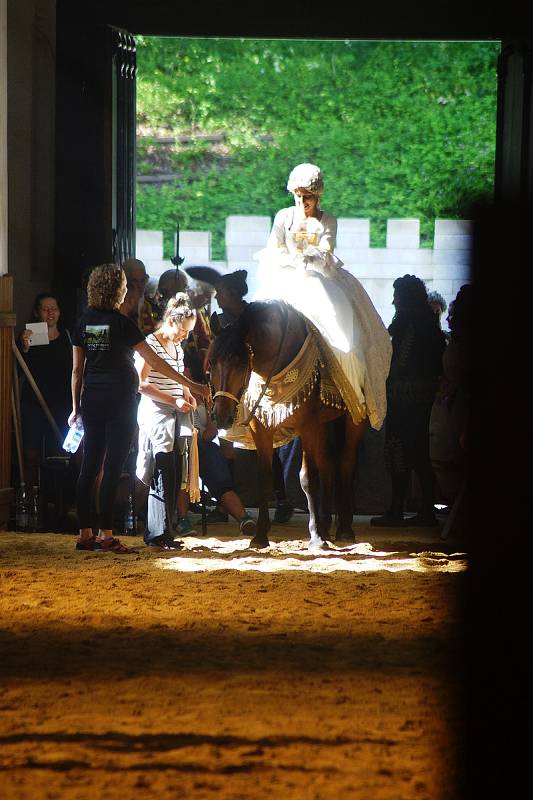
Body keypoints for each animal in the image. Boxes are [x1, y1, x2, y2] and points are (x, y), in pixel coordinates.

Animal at [208, 300, 366, 552]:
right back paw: (326, 524)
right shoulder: (262, 429)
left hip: (352, 419)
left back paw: (343, 529)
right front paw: (260, 536)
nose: (221, 415)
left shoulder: (308, 426)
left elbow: (308, 478)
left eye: (241, 362)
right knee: (328, 464)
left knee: (347, 462)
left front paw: (316, 537)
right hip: (323, 424)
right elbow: (265, 478)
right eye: (212, 361)